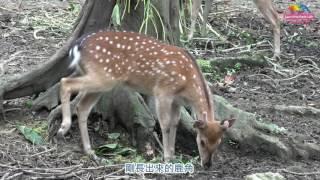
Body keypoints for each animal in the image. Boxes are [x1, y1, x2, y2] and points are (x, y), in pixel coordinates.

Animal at [57, 30, 235, 167]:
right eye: (202, 141)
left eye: (219, 143)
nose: (207, 164)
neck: (187, 84)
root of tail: (77, 45)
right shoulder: (163, 91)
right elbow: (165, 124)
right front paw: (167, 158)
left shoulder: (176, 100)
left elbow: (175, 123)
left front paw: (172, 154)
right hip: (103, 77)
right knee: (65, 82)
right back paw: (63, 128)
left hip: (99, 81)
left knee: (82, 107)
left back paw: (90, 151)